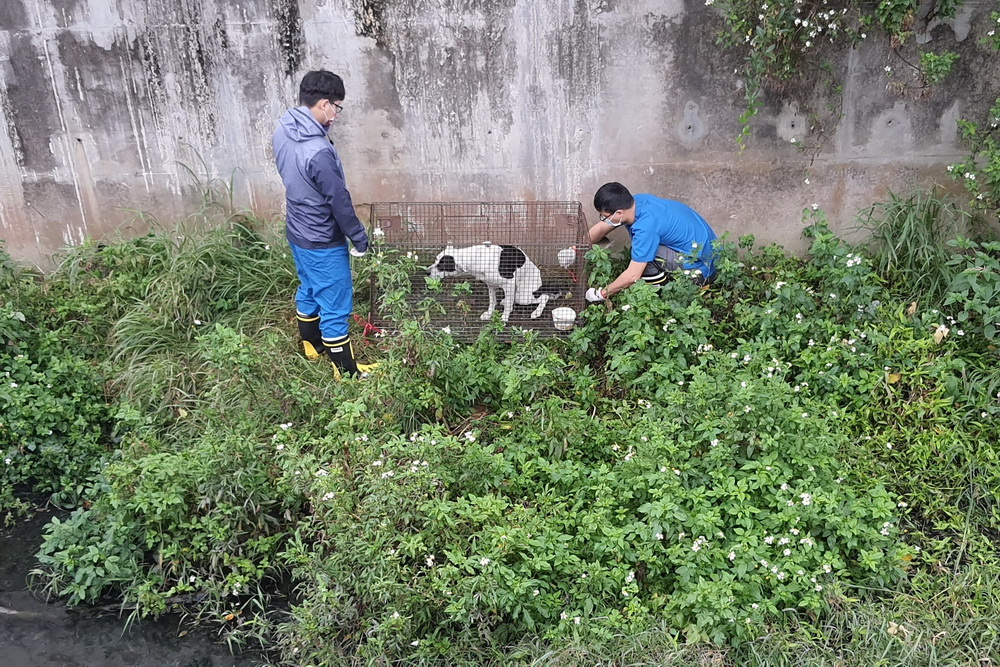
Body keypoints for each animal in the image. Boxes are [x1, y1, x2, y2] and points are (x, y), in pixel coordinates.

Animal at [430, 244, 568, 322]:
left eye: (441, 266)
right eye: (435, 260)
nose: (426, 272)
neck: (477, 258)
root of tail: (540, 286)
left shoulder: (509, 283)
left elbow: (507, 307)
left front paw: (504, 318)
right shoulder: (491, 285)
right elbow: (492, 302)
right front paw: (489, 314)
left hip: (523, 296)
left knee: (544, 297)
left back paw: (536, 312)